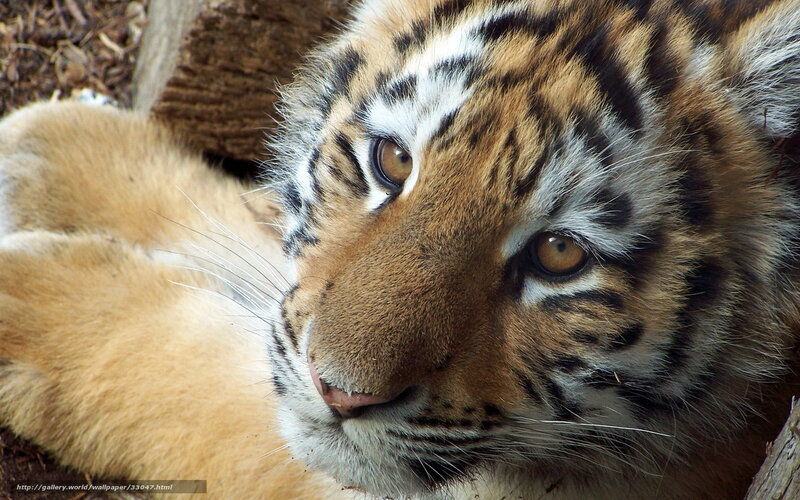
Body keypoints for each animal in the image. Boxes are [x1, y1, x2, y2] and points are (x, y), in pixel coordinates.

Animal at [1, 0, 800, 498]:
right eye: (390, 161)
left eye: (560, 255)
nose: (339, 393)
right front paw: (55, 153)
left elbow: (195, 381)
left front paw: (28, 302)